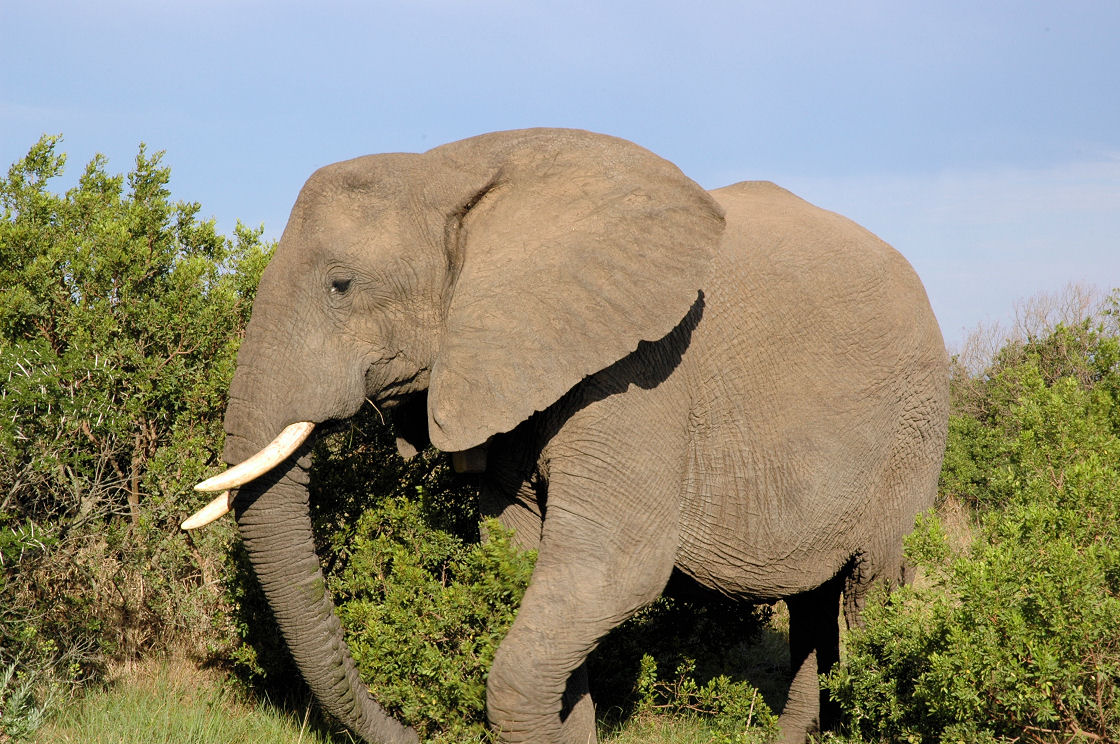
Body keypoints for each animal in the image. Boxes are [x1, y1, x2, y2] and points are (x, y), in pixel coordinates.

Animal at [183, 129, 945, 744]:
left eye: (341, 285)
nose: (407, 729)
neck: (449, 170)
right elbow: (534, 564)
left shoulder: (640, 374)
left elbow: (613, 569)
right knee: (814, 602)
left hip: (913, 430)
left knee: (869, 590)